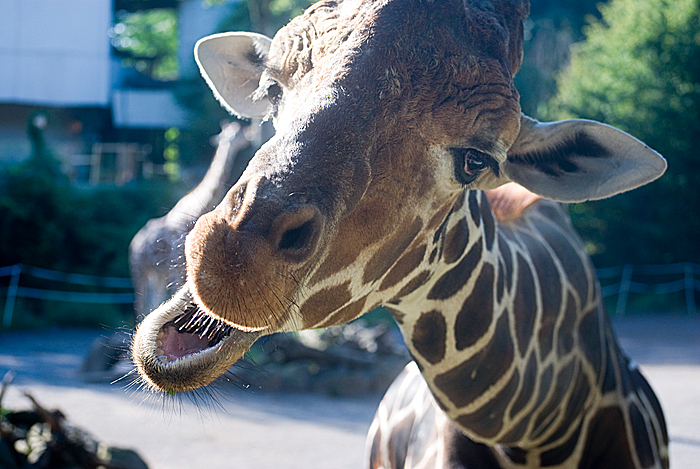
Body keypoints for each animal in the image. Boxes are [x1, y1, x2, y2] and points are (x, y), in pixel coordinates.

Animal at [129, 120, 252, 320]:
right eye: (232, 134)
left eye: (238, 133)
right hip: (139, 270)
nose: (248, 136)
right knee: (140, 305)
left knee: (152, 302)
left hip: (155, 274)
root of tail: (134, 243)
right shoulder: (177, 266)